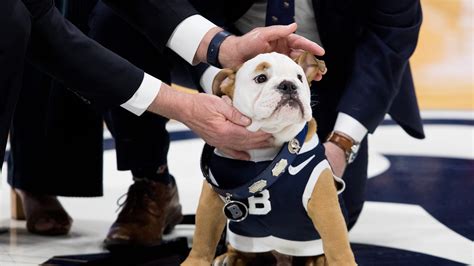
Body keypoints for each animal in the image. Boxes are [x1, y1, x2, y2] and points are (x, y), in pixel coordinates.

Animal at [181, 52, 356, 266]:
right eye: (261, 78)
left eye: (299, 77)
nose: (288, 85)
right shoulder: (211, 196)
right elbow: (203, 235)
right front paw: (194, 261)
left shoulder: (324, 201)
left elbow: (337, 243)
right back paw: (230, 257)